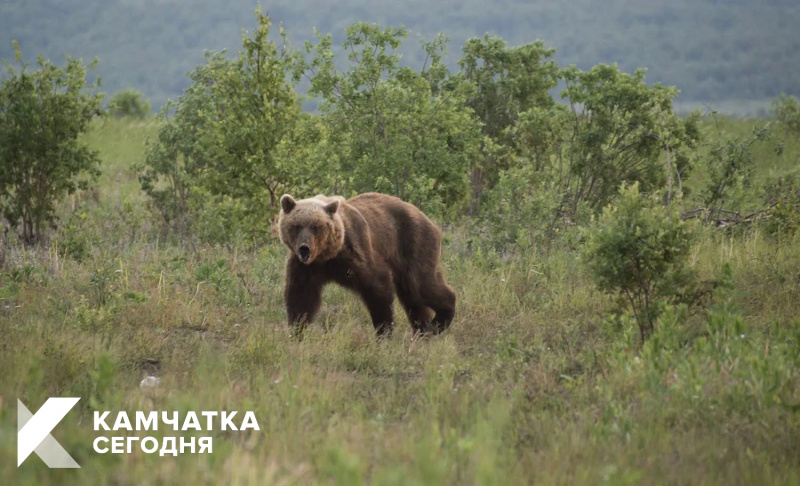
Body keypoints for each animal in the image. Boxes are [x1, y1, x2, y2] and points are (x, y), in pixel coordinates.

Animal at [277, 192, 456, 337]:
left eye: (316, 226)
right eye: (297, 225)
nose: (304, 248)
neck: (327, 255)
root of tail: (427, 218)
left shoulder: (356, 254)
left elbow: (378, 287)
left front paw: (383, 332)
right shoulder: (306, 267)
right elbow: (301, 297)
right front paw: (297, 331)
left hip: (414, 243)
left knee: (421, 285)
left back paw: (439, 322)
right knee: (413, 297)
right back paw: (423, 330)